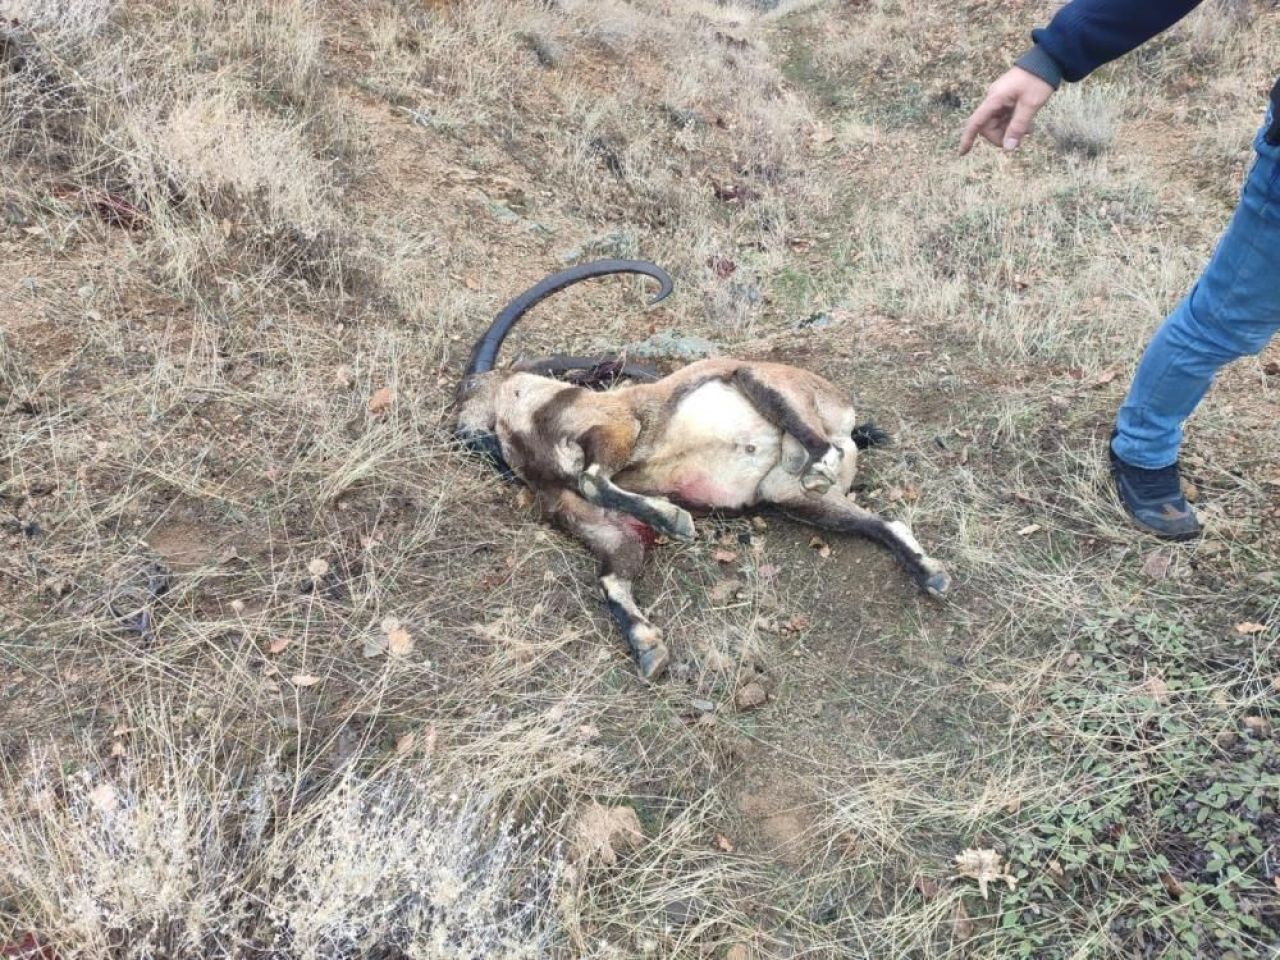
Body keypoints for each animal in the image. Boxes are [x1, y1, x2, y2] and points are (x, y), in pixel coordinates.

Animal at [455, 259, 947, 680]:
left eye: (477, 387)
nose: (466, 435)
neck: (532, 423)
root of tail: (849, 426)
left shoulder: (617, 428)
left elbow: (593, 479)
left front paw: (675, 520)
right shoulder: (594, 521)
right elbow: (612, 574)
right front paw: (649, 649)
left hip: (758, 380)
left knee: (813, 438)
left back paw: (818, 464)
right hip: (790, 497)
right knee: (884, 523)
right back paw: (931, 575)